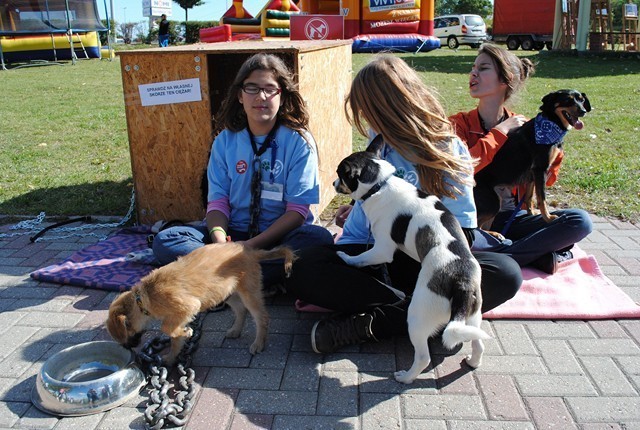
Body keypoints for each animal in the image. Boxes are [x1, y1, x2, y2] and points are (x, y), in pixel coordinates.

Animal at [106, 244, 296, 364]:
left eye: (126, 335)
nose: (127, 348)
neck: (143, 298)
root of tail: (250, 251)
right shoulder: (179, 315)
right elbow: (174, 339)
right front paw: (171, 357)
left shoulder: (188, 306)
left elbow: (166, 328)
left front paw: (186, 332)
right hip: (226, 292)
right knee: (241, 310)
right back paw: (236, 331)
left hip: (248, 292)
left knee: (261, 317)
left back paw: (258, 344)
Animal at [332, 143, 488, 384]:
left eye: (341, 175)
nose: (333, 183)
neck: (380, 183)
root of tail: (460, 281)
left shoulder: (382, 249)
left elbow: (360, 258)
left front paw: (346, 258)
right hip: (472, 314)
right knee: (478, 343)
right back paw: (472, 361)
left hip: (417, 316)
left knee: (423, 358)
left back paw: (405, 377)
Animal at [476, 89, 592, 230]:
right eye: (567, 100)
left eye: (581, 100)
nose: (583, 111)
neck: (551, 122)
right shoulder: (540, 169)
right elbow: (542, 198)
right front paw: (548, 218)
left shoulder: (532, 174)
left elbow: (529, 196)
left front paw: (531, 213)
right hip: (493, 201)